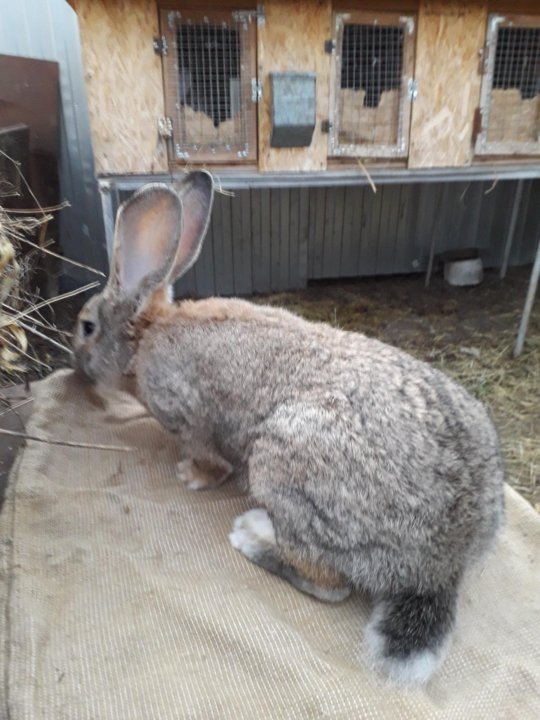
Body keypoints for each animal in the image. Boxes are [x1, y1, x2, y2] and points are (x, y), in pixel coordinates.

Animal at [73, 171, 505, 686]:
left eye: (86, 326)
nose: (76, 369)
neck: (145, 337)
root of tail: (442, 563)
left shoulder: (192, 419)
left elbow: (209, 459)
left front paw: (191, 477)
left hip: (285, 467)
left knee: (330, 583)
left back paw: (251, 534)